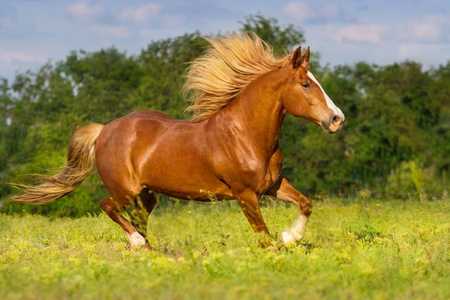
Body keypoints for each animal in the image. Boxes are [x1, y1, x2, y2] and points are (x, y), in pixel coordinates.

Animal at [11, 31, 344, 250]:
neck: (246, 135)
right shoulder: (245, 194)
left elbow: (306, 204)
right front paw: (280, 247)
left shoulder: (272, 185)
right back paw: (136, 244)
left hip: (146, 196)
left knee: (139, 220)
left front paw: (290, 237)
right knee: (108, 206)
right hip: (124, 190)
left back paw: (148, 252)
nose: (337, 119)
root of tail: (104, 130)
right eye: (305, 84)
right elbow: (264, 238)